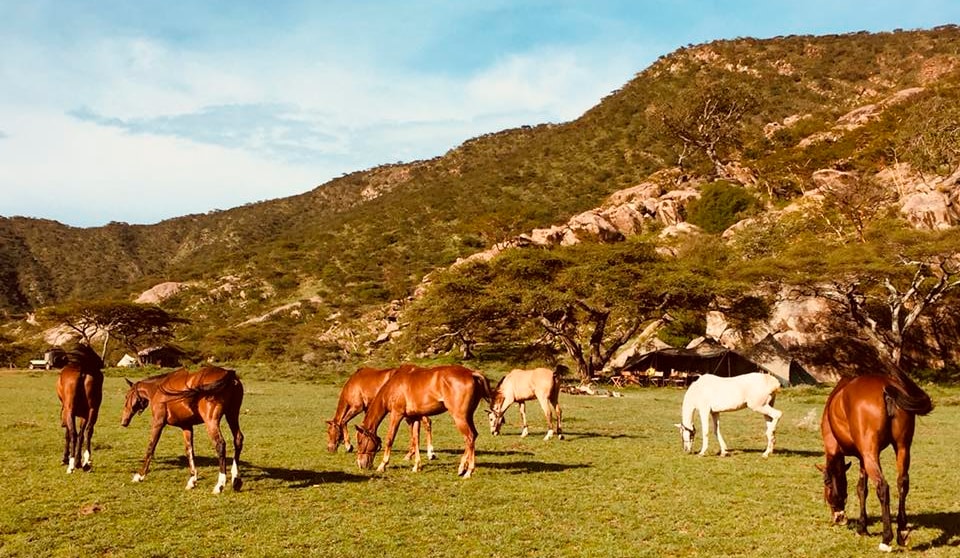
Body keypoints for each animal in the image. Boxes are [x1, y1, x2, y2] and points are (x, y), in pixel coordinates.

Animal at [354, 366, 496, 480]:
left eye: (360, 441)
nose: (360, 464)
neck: (394, 386)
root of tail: (472, 373)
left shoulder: (396, 414)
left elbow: (390, 439)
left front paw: (382, 465)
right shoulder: (415, 417)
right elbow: (415, 439)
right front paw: (417, 466)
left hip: (459, 417)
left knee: (469, 437)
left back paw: (468, 471)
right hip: (468, 416)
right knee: (473, 436)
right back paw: (462, 467)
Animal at [812, 370, 932, 552]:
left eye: (826, 484)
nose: (838, 517)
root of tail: (886, 389)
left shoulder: (847, 452)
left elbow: (860, 489)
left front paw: (862, 527)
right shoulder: (862, 458)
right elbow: (862, 489)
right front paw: (862, 526)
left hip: (871, 453)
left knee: (883, 487)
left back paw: (886, 539)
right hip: (902, 447)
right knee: (902, 483)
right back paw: (902, 532)